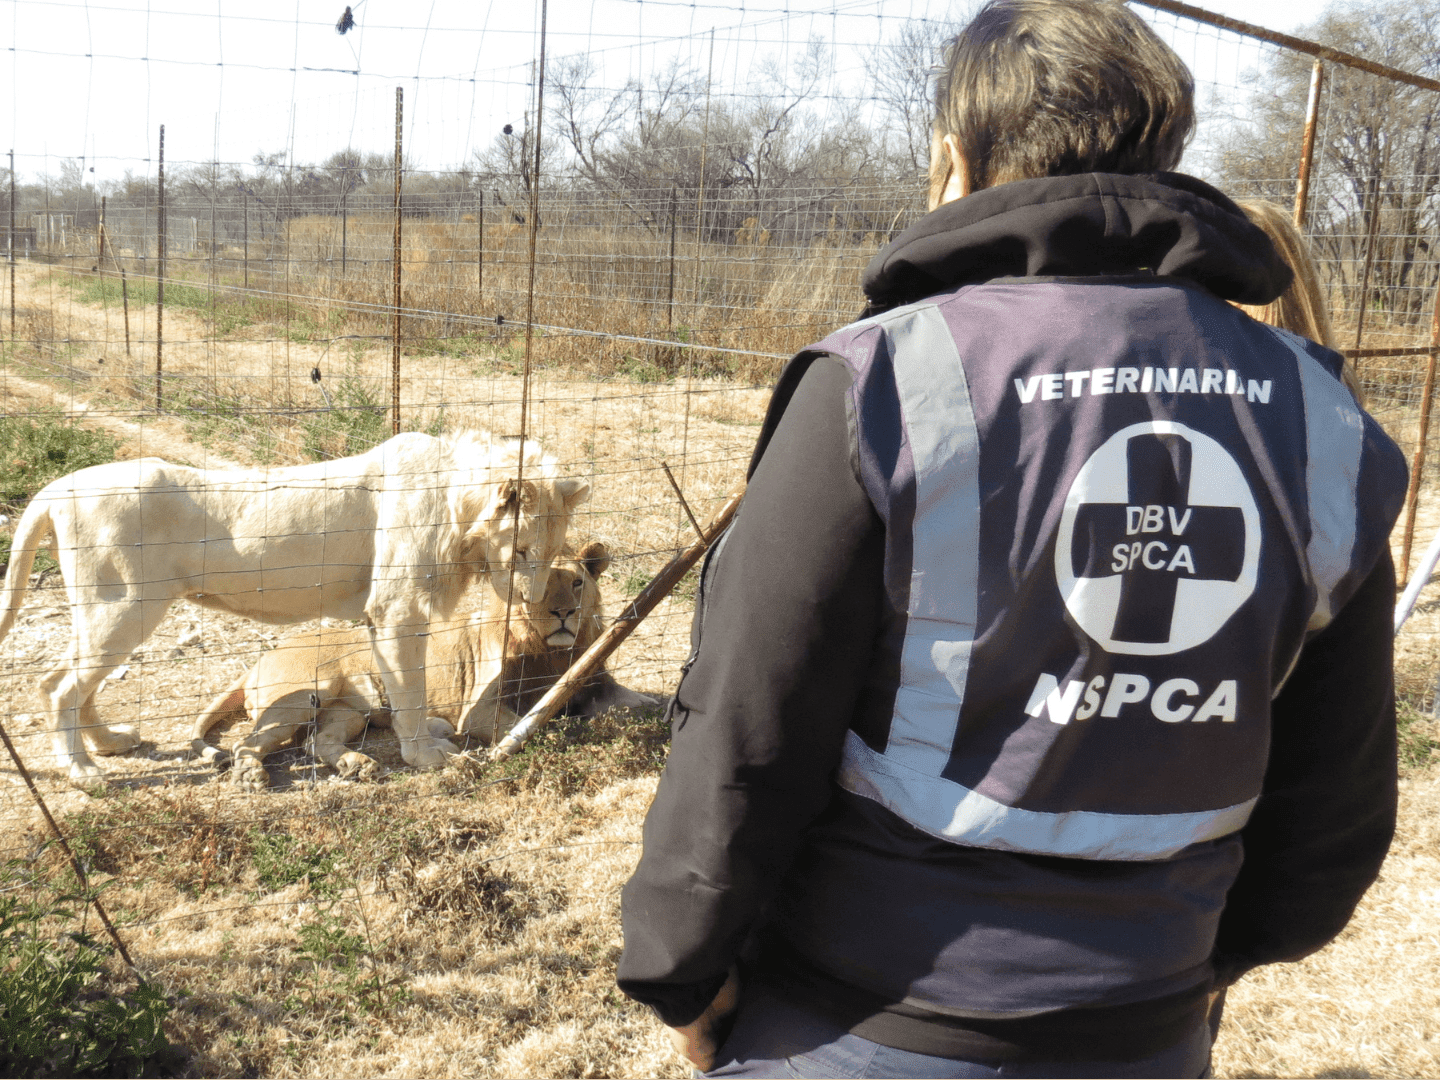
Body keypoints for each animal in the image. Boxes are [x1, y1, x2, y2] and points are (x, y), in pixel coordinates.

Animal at [0, 432, 590, 782]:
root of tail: (56, 489)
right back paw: (82, 771)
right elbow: (411, 691)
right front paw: (426, 755)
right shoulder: (397, 610)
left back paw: (109, 744)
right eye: (522, 550)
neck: (458, 510)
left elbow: (397, 689)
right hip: (123, 607)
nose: (536, 602)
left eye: (553, 551)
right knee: (59, 685)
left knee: (69, 682)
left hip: (109, 612)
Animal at [190, 541, 660, 788]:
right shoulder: (478, 709)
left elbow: (643, 703)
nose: (564, 614)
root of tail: (259, 659)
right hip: (308, 693)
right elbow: (523, 726)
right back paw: (251, 775)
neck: (556, 652)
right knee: (247, 743)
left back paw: (357, 764)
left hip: (350, 712)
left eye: (578, 582)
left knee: (316, 742)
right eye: (538, 589)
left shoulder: (598, 685)